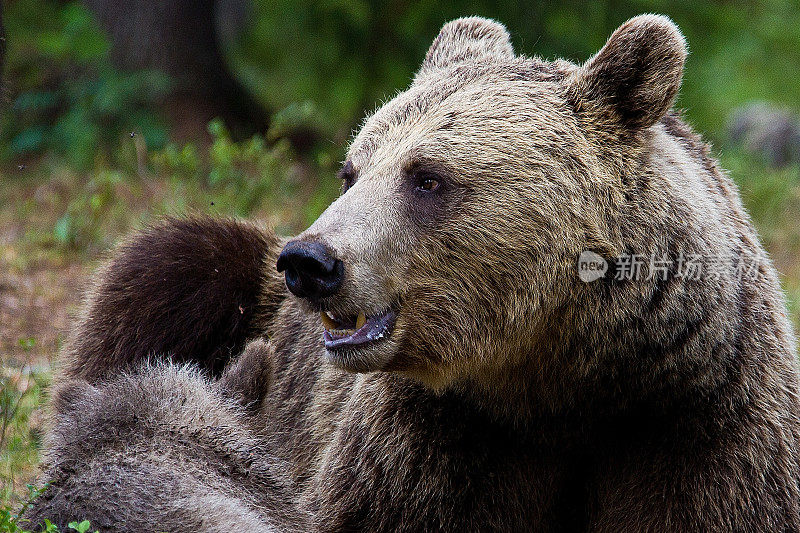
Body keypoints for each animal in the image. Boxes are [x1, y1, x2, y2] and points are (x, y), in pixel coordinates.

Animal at [25, 14, 800, 528]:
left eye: (426, 177)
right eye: (351, 169)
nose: (310, 262)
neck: (559, 378)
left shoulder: (696, 423)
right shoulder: (438, 443)